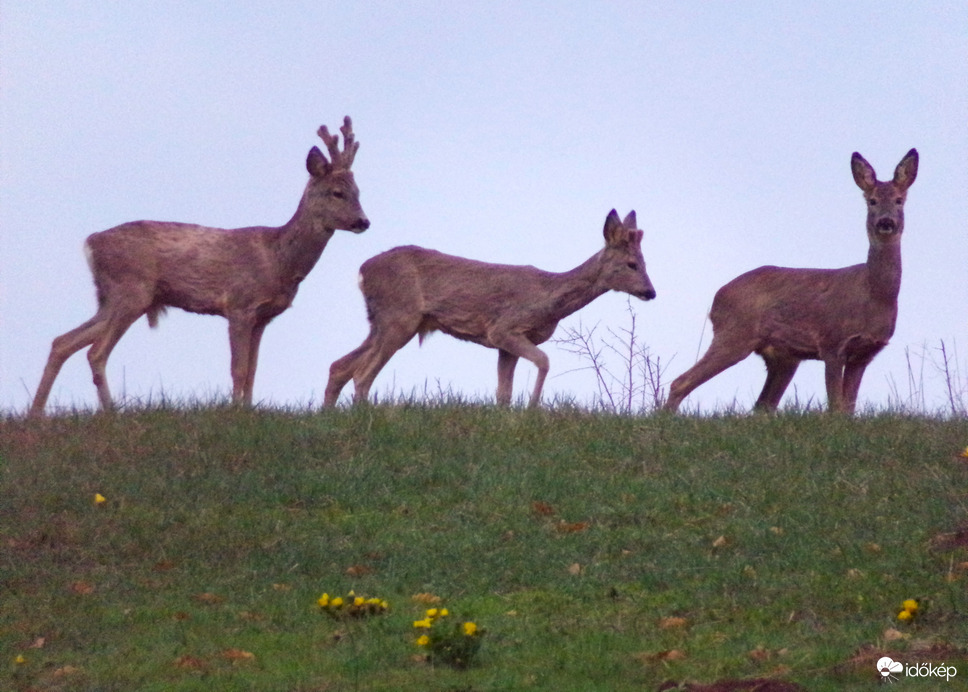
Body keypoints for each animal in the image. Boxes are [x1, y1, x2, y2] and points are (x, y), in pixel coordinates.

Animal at [29, 117, 370, 416]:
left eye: (358, 192)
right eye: (337, 192)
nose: (363, 221)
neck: (278, 260)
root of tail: (91, 243)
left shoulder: (263, 318)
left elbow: (253, 370)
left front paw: (247, 409)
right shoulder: (239, 305)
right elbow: (238, 368)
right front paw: (235, 412)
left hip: (114, 298)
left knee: (63, 342)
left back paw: (36, 413)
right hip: (131, 291)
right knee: (95, 352)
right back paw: (110, 412)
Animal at [326, 208, 656, 408]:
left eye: (644, 262)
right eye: (632, 264)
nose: (651, 292)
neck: (549, 300)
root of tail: (363, 271)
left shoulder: (505, 346)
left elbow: (503, 393)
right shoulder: (503, 328)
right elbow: (544, 361)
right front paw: (532, 408)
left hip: (383, 321)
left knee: (340, 366)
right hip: (400, 318)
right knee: (362, 373)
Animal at [660, 148, 920, 414]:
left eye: (899, 200)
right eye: (872, 201)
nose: (886, 222)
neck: (874, 295)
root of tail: (716, 299)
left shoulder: (865, 354)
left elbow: (848, 408)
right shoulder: (832, 341)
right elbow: (835, 406)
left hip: (782, 357)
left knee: (763, 405)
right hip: (735, 333)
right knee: (681, 381)